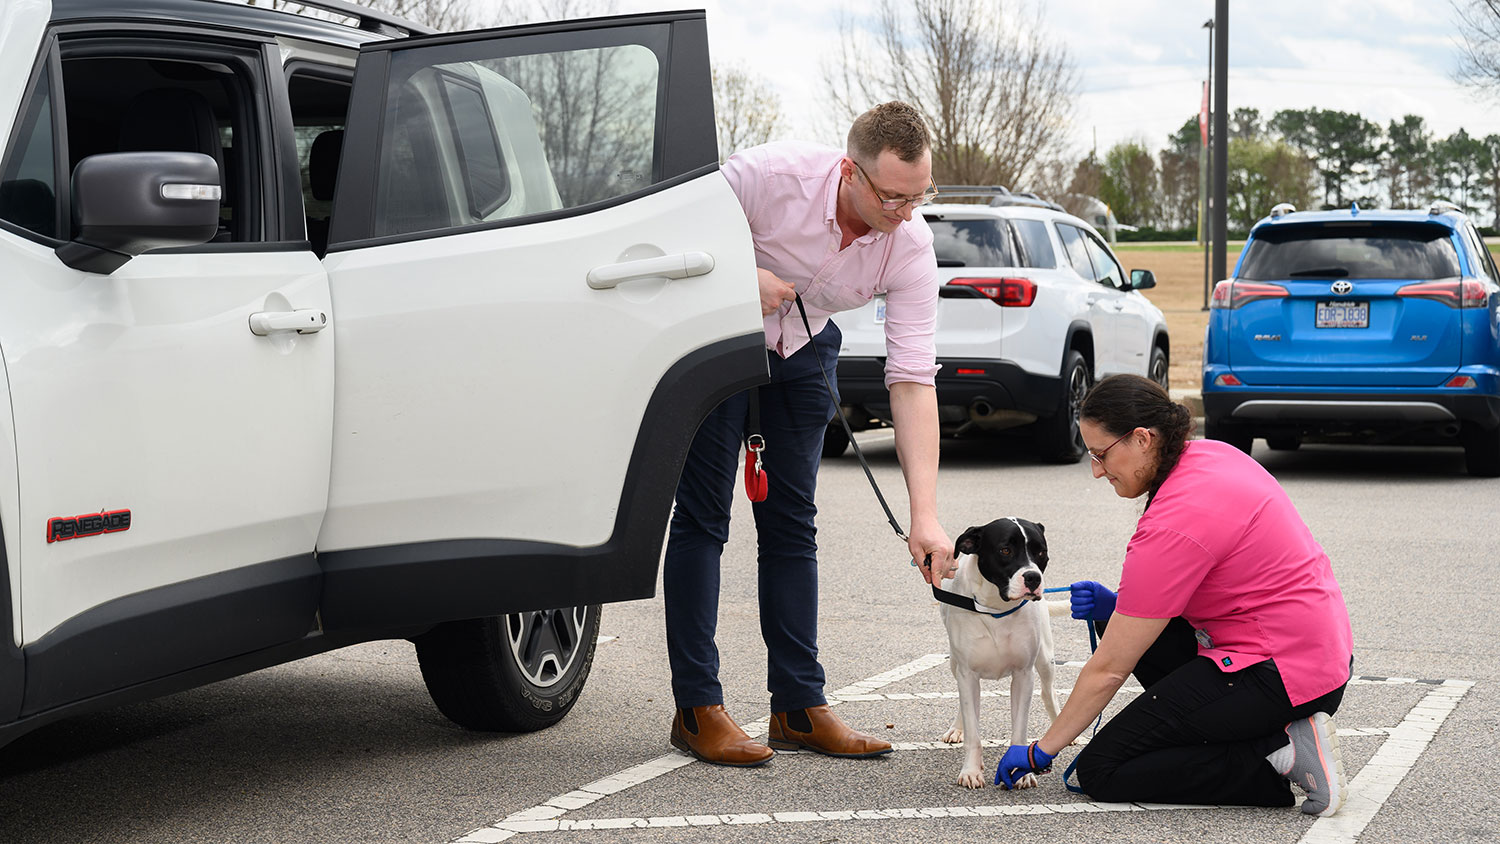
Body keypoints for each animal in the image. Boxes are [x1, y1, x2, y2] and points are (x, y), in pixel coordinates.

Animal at [936, 518, 1068, 791]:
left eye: (1041, 552)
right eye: (1005, 550)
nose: (1033, 577)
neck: (996, 608)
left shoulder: (1023, 675)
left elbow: (1019, 730)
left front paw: (1021, 770)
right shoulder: (967, 674)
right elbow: (973, 731)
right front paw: (971, 770)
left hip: (1045, 659)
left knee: (1048, 692)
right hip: (955, 663)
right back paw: (957, 728)